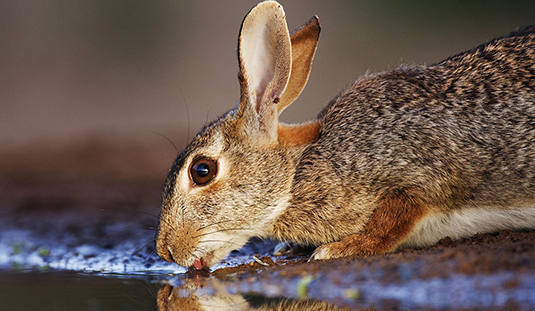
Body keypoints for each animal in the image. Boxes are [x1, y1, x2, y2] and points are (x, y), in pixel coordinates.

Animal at [154, 0, 535, 270]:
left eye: (202, 170)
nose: (166, 251)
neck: (296, 174)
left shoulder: (413, 171)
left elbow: (392, 218)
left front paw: (338, 249)